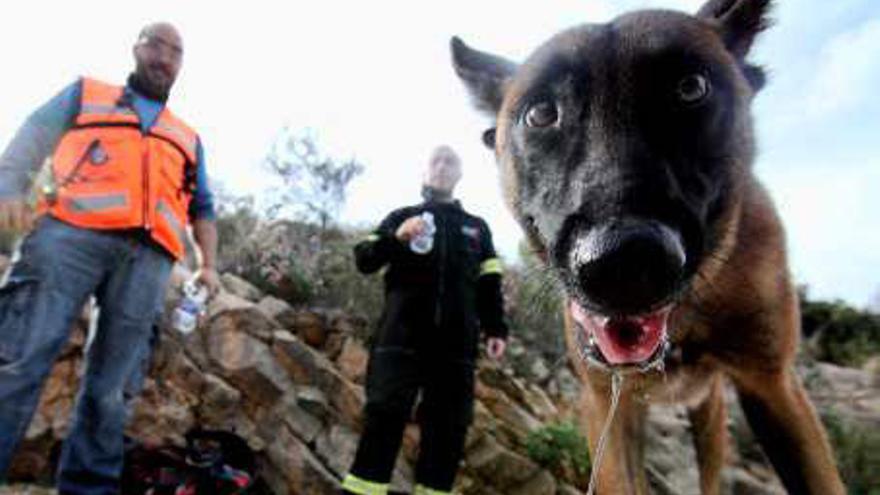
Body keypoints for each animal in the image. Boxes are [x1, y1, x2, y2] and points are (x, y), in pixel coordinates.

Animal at [454, 0, 844, 495]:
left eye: (691, 88)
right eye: (541, 113)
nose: (624, 265)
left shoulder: (774, 388)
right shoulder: (606, 404)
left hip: (710, 416)